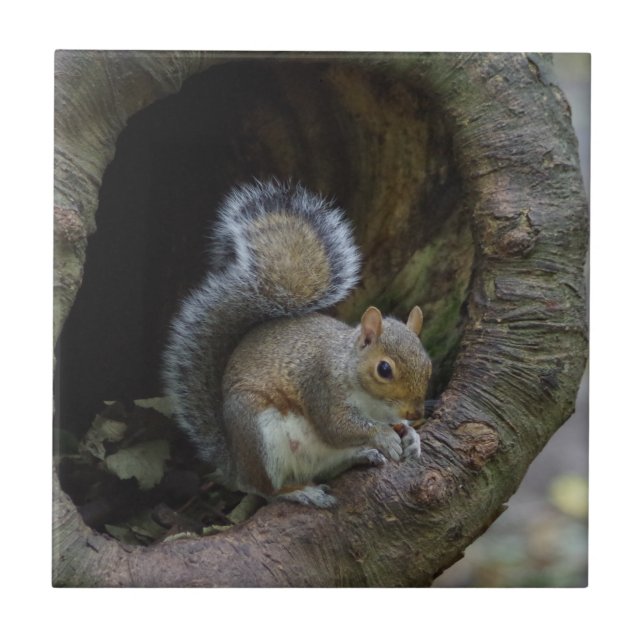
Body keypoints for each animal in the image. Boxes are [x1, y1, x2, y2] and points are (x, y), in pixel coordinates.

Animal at [162, 180, 432, 508]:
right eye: (384, 369)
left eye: (428, 364)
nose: (416, 413)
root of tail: (236, 464)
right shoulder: (321, 386)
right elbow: (337, 426)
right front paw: (384, 436)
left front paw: (411, 437)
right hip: (260, 434)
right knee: (264, 489)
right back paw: (301, 491)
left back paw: (361, 455)